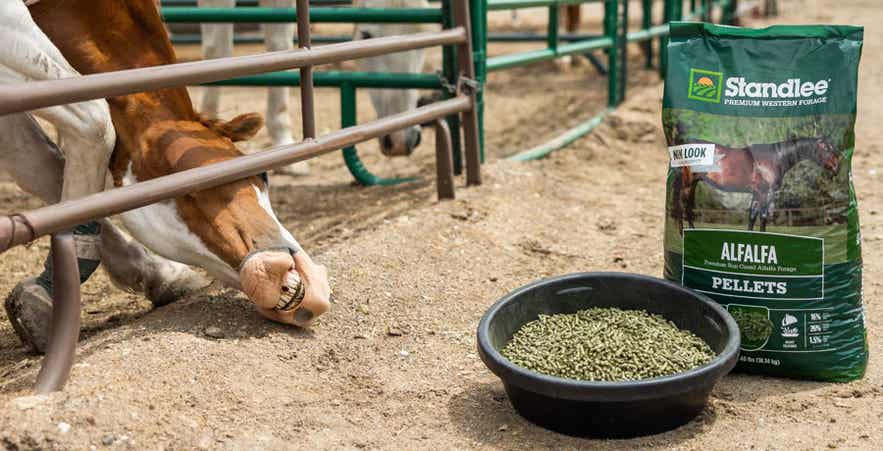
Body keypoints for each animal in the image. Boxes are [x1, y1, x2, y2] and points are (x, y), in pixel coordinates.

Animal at [2, 0, 331, 353]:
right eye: (189, 189)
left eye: (263, 176)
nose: (308, 284)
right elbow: (94, 123)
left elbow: (41, 163)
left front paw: (158, 273)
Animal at [672, 136, 840, 232]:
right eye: (826, 148)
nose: (836, 166)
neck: (775, 158)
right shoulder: (766, 193)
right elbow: (763, 217)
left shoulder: (757, 194)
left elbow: (752, 216)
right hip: (687, 183)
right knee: (682, 206)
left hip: (694, 184)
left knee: (688, 207)